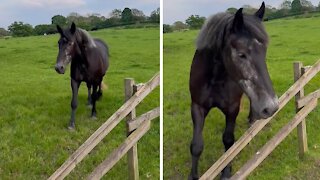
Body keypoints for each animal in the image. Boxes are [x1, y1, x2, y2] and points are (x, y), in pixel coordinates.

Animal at [189, 2, 278, 179]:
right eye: (241, 54)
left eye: (264, 52)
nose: (271, 107)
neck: (215, 78)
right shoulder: (197, 107)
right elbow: (196, 145)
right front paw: (193, 175)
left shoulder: (232, 108)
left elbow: (229, 141)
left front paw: (226, 172)